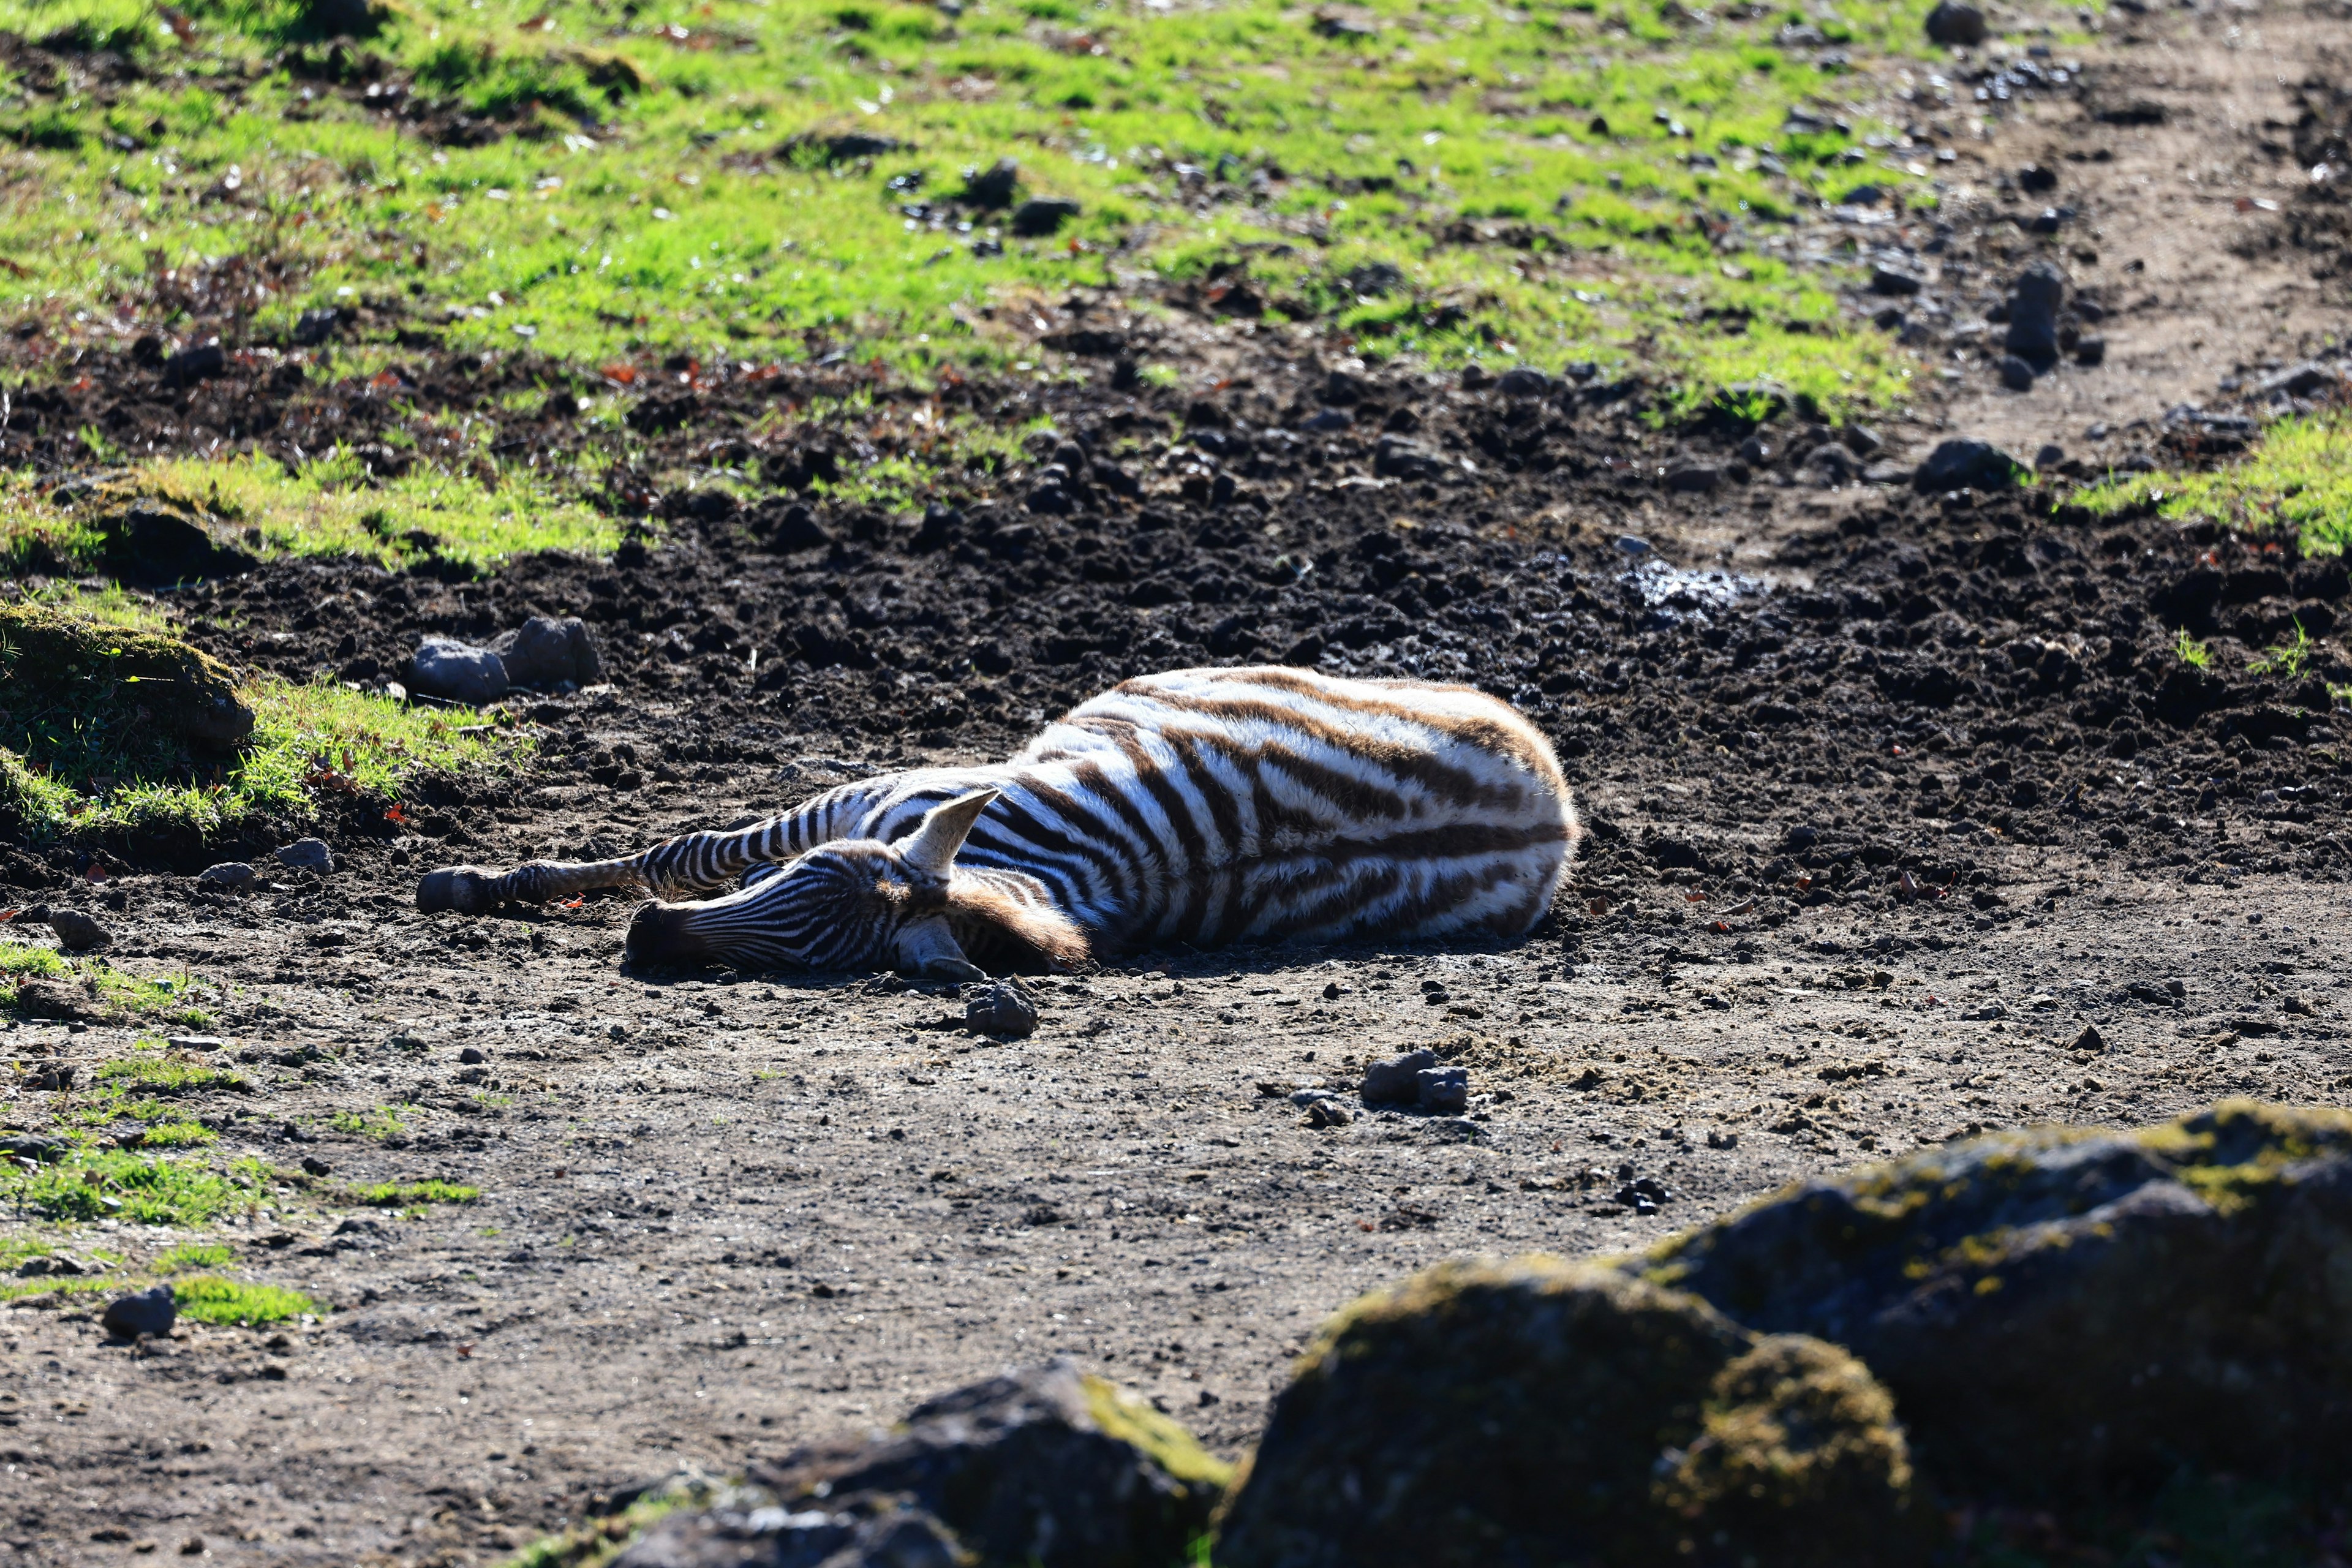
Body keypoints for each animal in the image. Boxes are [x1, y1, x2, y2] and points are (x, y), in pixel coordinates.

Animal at [418, 668, 1580, 982]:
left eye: (811, 965)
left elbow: (691, 855)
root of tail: (1560, 820)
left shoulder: (877, 792)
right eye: (802, 883)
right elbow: (691, 852)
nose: (649, 941)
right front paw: (488, 885)